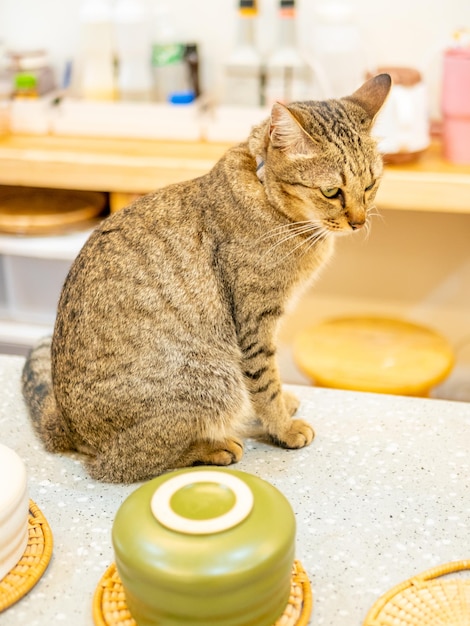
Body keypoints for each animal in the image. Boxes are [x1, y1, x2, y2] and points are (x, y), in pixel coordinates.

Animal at [21, 74, 390, 482]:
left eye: (371, 185)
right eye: (331, 191)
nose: (359, 222)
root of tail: (66, 424)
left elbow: (269, 387)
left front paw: (282, 406)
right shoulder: (255, 324)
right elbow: (265, 385)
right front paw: (283, 428)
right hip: (213, 377)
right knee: (123, 464)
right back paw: (214, 447)